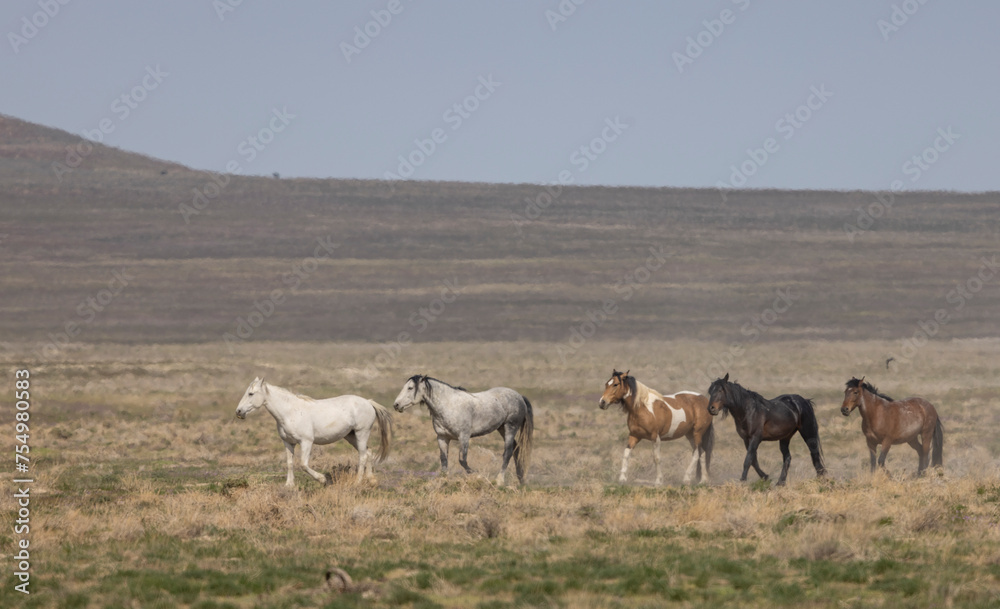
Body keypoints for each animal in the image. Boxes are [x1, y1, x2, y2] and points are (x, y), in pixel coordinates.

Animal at [236, 376, 392, 484]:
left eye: (251, 394)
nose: (238, 412)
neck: (289, 412)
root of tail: (368, 402)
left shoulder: (306, 442)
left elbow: (303, 464)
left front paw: (322, 479)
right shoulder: (288, 443)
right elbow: (290, 463)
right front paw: (289, 485)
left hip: (361, 433)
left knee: (363, 456)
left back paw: (357, 482)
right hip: (351, 436)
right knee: (368, 452)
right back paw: (371, 480)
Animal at [390, 372, 536, 486]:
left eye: (410, 388)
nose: (396, 405)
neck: (449, 405)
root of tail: (519, 396)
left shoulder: (464, 437)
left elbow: (462, 460)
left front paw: (477, 475)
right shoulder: (442, 438)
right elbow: (444, 459)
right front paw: (444, 481)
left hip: (510, 427)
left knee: (508, 452)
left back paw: (500, 480)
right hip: (501, 429)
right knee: (516, 450)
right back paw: (521, 480)